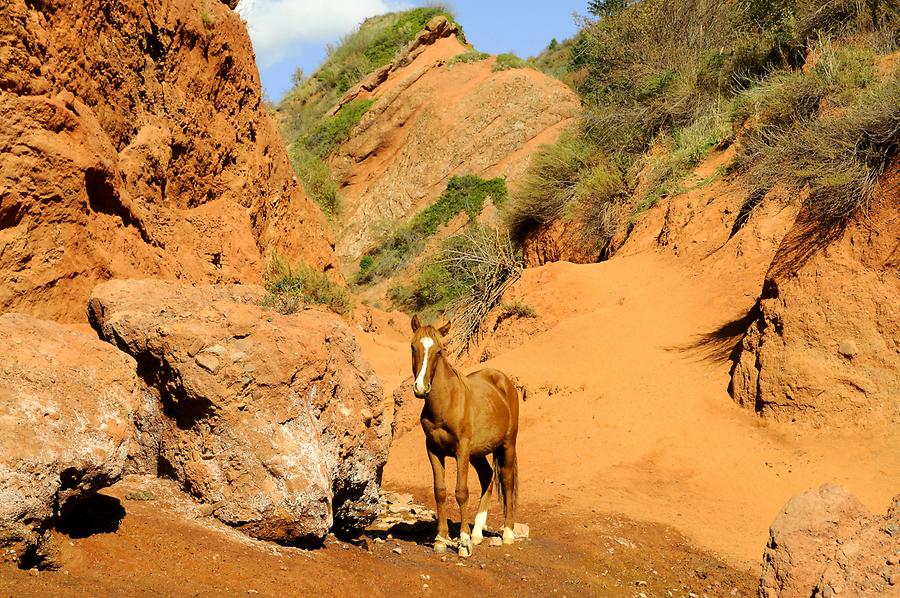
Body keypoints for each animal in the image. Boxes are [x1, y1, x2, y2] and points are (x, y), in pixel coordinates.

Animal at [408, 316, 520, 560]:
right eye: (413, 347)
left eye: (439, 351)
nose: (421, 388)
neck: (446, 403)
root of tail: (503, 380)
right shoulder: (433, 450)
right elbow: (440, 492)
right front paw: (441, 539)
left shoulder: (462, 449)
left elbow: (461, 492)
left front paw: (463, 542)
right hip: (478, 453)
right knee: (487, 477)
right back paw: (477, 533)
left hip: (507, 445)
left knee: (506, 481)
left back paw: (507, 533)